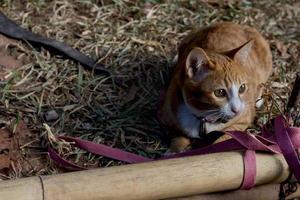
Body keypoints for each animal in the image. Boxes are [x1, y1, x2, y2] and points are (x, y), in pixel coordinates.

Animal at [161, 21, 274, 152]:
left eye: (242, 88)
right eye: (220, 92)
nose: (237, 110)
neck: (203, 118)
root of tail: (237, 24)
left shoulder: (242, 120)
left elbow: (224, 138)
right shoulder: (168, 115)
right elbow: (178, 134)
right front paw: (176, 149)